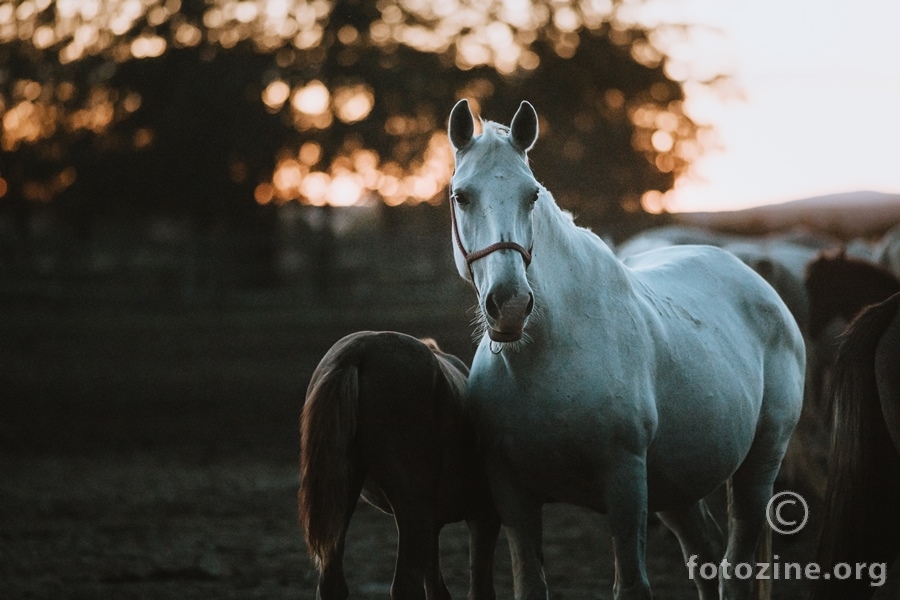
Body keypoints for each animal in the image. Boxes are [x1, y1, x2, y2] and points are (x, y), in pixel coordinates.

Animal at [300, 330, 500, 596]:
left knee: (332, 583)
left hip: (344, 500)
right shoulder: (484, 518)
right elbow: (479, 589)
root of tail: (359, 350)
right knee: (406, 584)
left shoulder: (434, 524)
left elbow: (437, 588)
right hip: (411, 505)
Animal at [446, 99, 804, 600]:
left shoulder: (625, 482)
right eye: (462, 196)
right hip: (676, 486)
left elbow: (632, 584)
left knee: (733, 569)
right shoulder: (510, 490)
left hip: (759, 465)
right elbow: (529, 582)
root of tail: (757, 281)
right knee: (706, 554)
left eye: (531, 196)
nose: (511, 305)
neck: (545, 358)